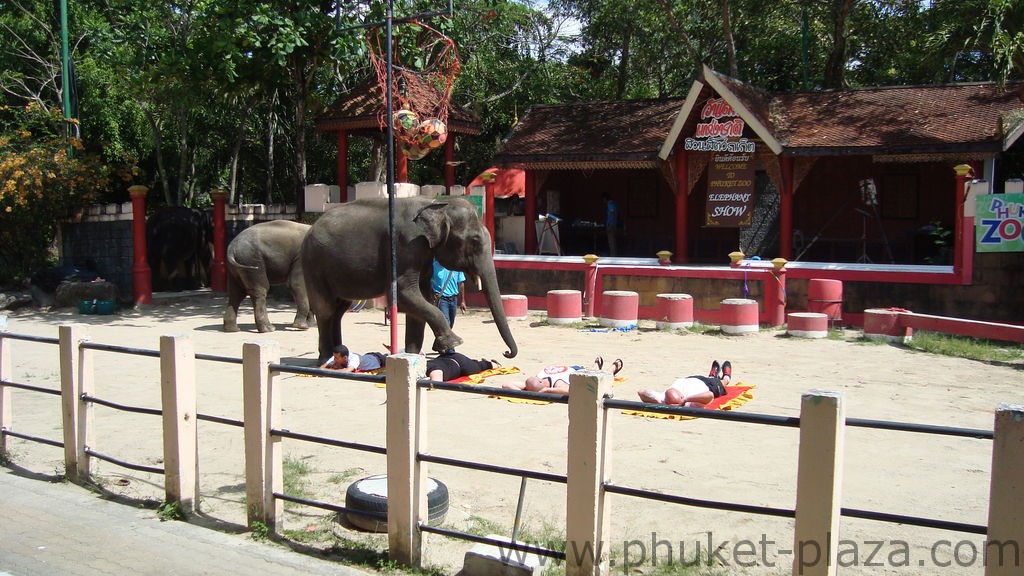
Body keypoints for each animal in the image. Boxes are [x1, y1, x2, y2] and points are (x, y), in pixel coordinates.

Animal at [299, 194, 516, 360]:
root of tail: (310, 227)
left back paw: (340, 352)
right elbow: (404, 296)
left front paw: (411, 357)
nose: (505, 353)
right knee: (326, 309)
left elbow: (422, 300)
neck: (436, 204)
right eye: (475, 241)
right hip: (313, 265)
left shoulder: (423, 253)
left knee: (340, 309)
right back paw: (326, 359)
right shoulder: (406, 245)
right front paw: (454, 342)